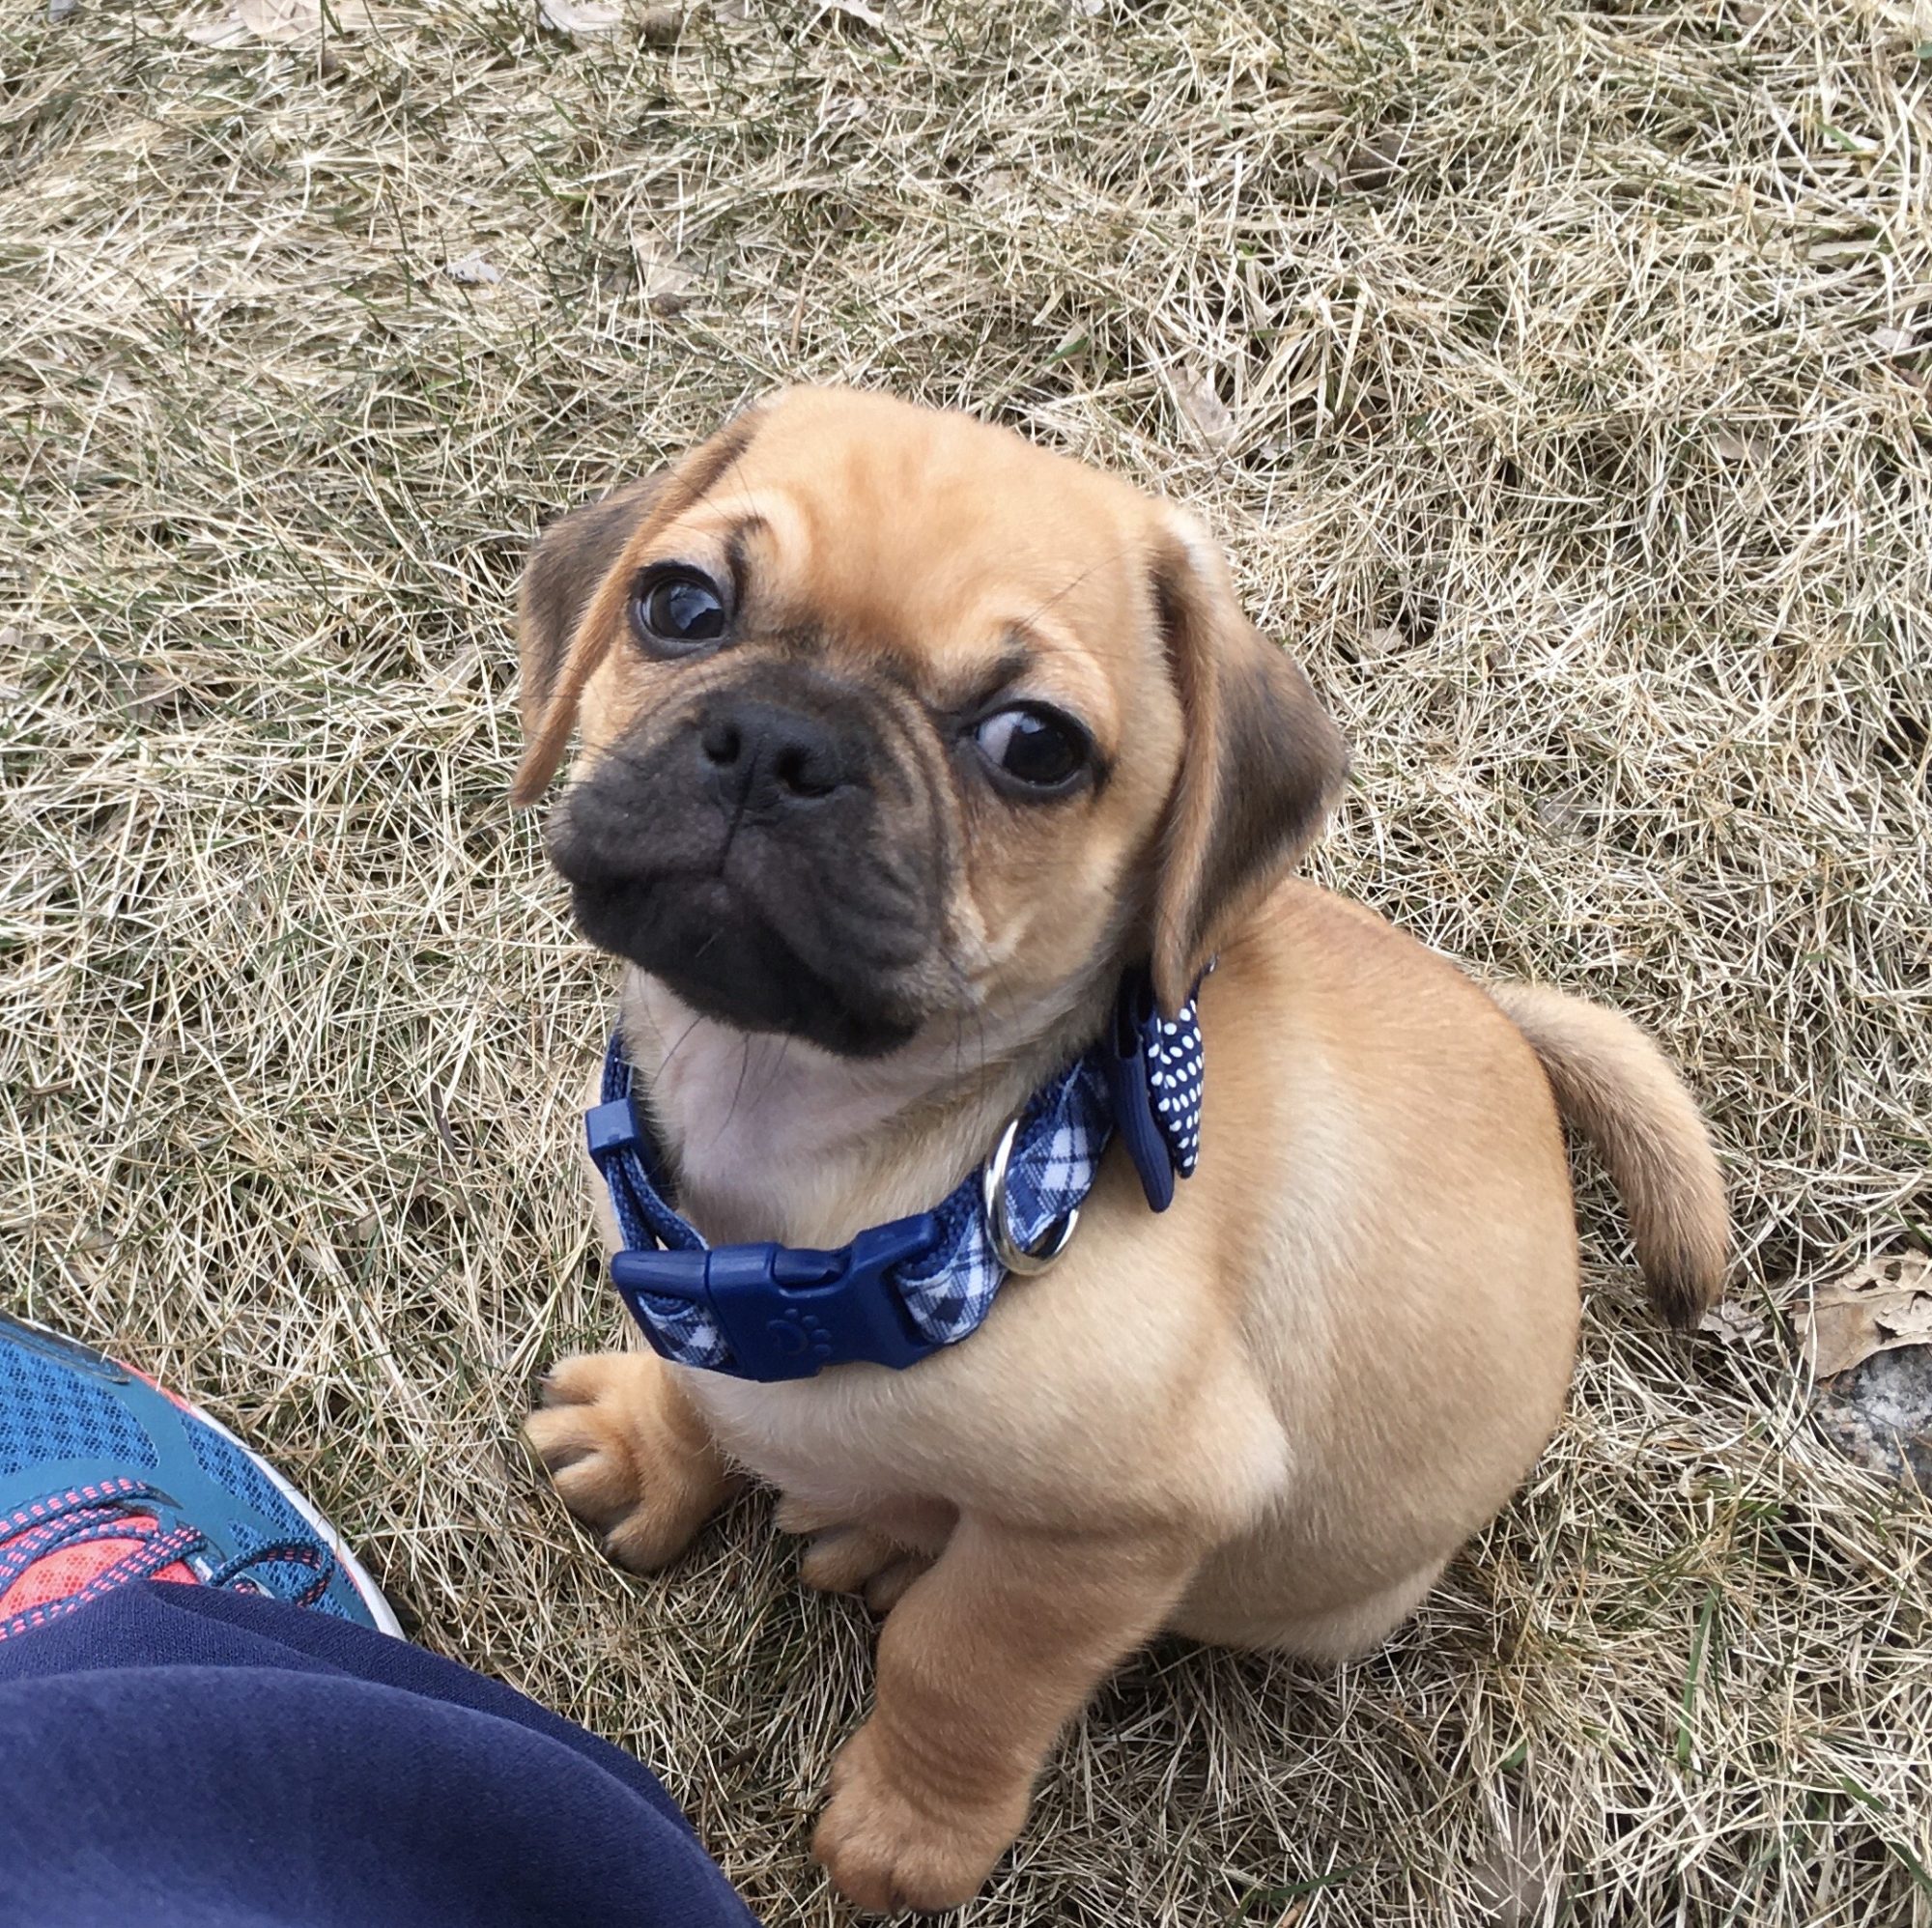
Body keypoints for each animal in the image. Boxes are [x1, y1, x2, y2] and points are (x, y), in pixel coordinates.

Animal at [514, 381, 1723, 1916]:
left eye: (1033, 745)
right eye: (678, 603)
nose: (781, 743)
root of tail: (1508, 1029)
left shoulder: (1107, 1536)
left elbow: (963, 1665)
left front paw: (908, 1833)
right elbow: (694, 1377)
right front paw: (651, 1445)